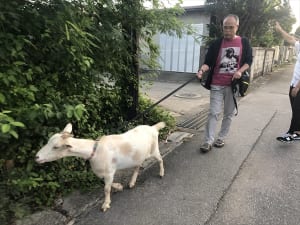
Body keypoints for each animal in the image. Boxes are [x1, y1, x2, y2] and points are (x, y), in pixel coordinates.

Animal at [36, 121, 166, 211]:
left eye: (56, 147)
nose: (36, 157)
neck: (95, 150)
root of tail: (153, 128)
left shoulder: (109, 171)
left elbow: (106, 189)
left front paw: (105, 204)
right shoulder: (103, 173)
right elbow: (106, 184)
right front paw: (119, 186)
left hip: (154, 150)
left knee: (160, 160)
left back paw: (161, 173)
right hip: (138, 156)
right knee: (137, 166)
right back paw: (132, 182)